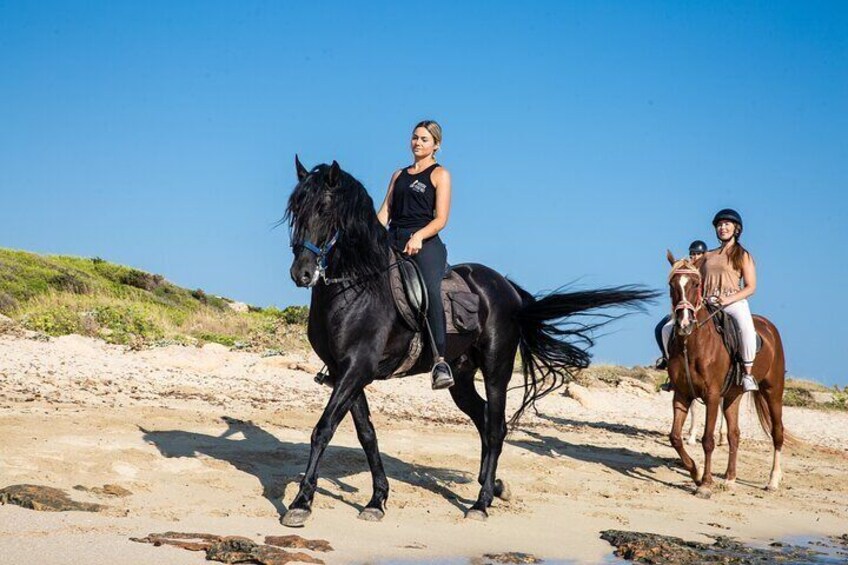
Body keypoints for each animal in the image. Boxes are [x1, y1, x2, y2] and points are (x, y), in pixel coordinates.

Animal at [282, 158, 660, 524]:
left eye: (324, 208)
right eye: (296, 209)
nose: (301, 273)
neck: (358, 284)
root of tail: (508, 289)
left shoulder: (357, 368)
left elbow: (324, 428)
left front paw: (301, 504)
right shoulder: (346, 371)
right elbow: (366, 434)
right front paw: (377, 500)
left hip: (496, 369)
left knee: (495, 427)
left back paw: (481, 503)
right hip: (461, 377)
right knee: (483, 419)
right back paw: (493, 485)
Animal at [664, 252, 788, 498]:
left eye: (695, 284)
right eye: (672, 285)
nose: (684, 323)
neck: (692, 344)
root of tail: (769, 327)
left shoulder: (711, 396)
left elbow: (707, 440)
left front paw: (705, 484)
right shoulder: (681, 394)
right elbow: (675, 437)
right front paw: (696, 472)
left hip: (773, 391)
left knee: (777, 432)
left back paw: (772, 481)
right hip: (733, 396)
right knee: (734, 434)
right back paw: (730, 479)